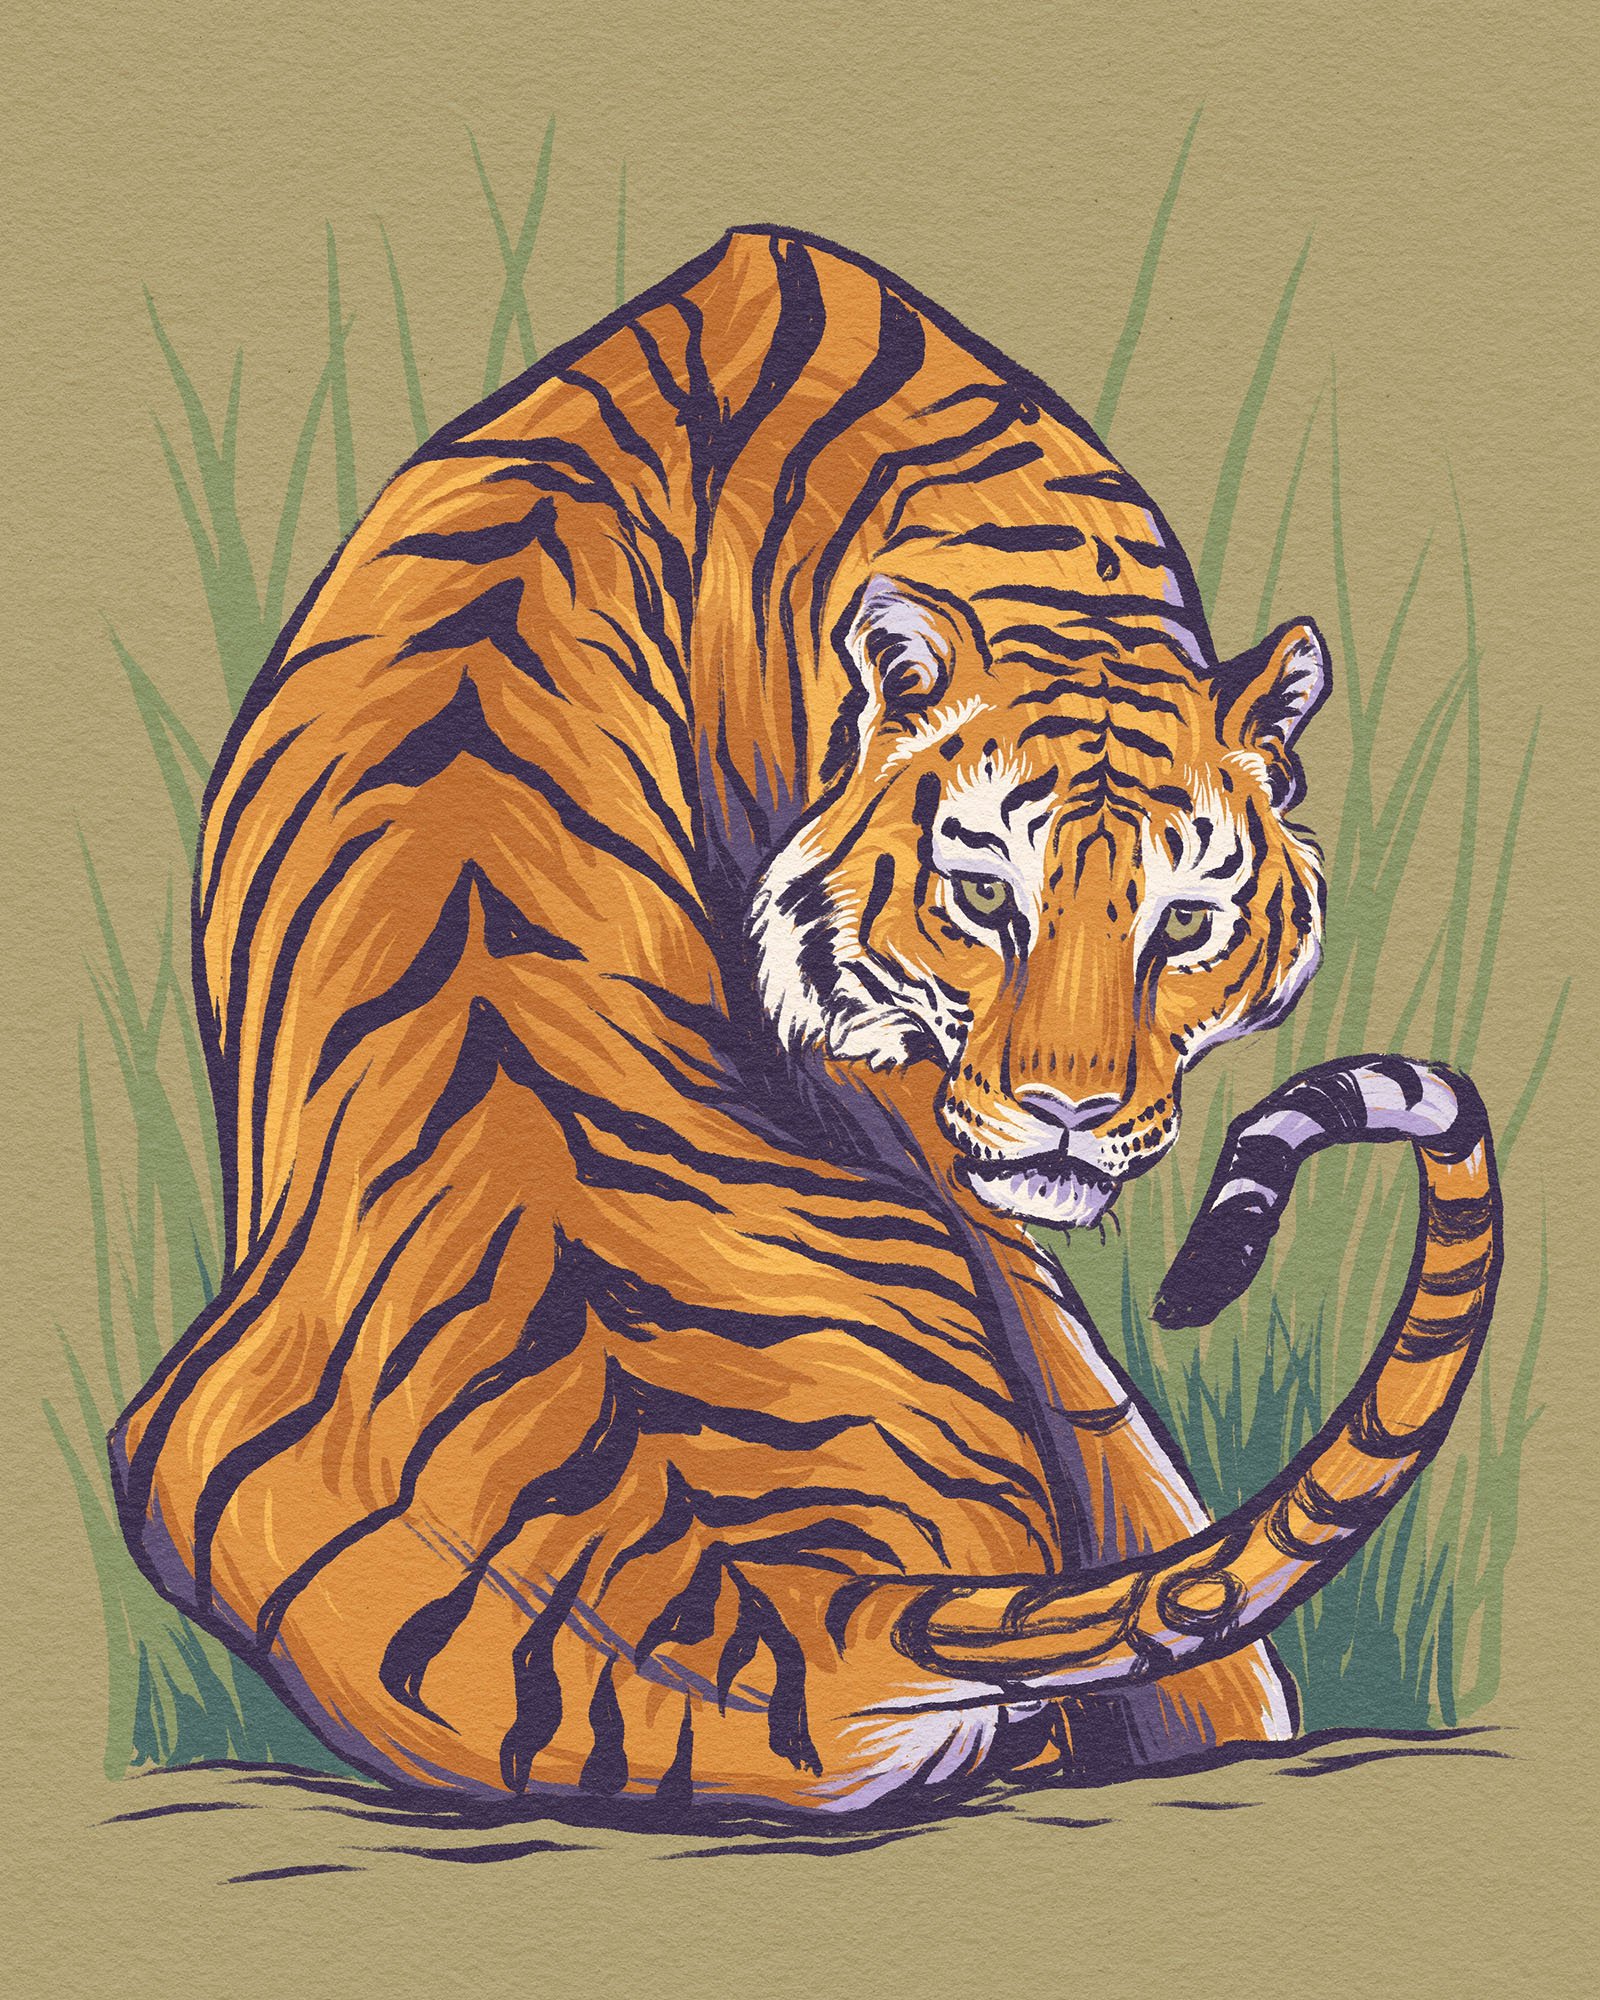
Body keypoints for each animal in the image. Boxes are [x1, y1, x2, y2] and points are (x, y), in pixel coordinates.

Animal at [109, 226, 1500, 1818]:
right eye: (981, 894)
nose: (1071, 1115)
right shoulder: (904, 1100)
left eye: (1186, 926)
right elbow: (1102, 1419)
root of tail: (819, 1616)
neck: (1053, 591)